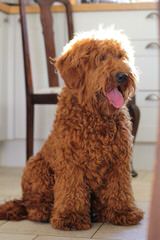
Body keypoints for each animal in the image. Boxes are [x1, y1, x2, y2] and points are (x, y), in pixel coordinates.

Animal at [0, 27, 143, 230]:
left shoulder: (119, 162)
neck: (96, 115)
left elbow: (119, 189)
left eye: (121, 56)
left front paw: (123, 212)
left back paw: (98, 212)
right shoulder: (71, 161)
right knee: (33, 205)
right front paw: (71, 217)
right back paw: (43, 212)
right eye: (101, 58)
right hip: (37, 167)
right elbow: (72, 190)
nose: (123, 76)